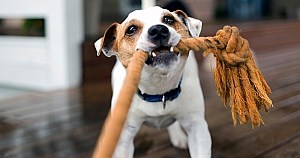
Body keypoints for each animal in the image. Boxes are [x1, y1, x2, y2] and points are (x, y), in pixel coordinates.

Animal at [95, 6, 211, 158]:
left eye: (168, 19)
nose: (158, 30)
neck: (158, 91)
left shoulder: (197, 127)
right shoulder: (124, 138)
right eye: (131, 29)